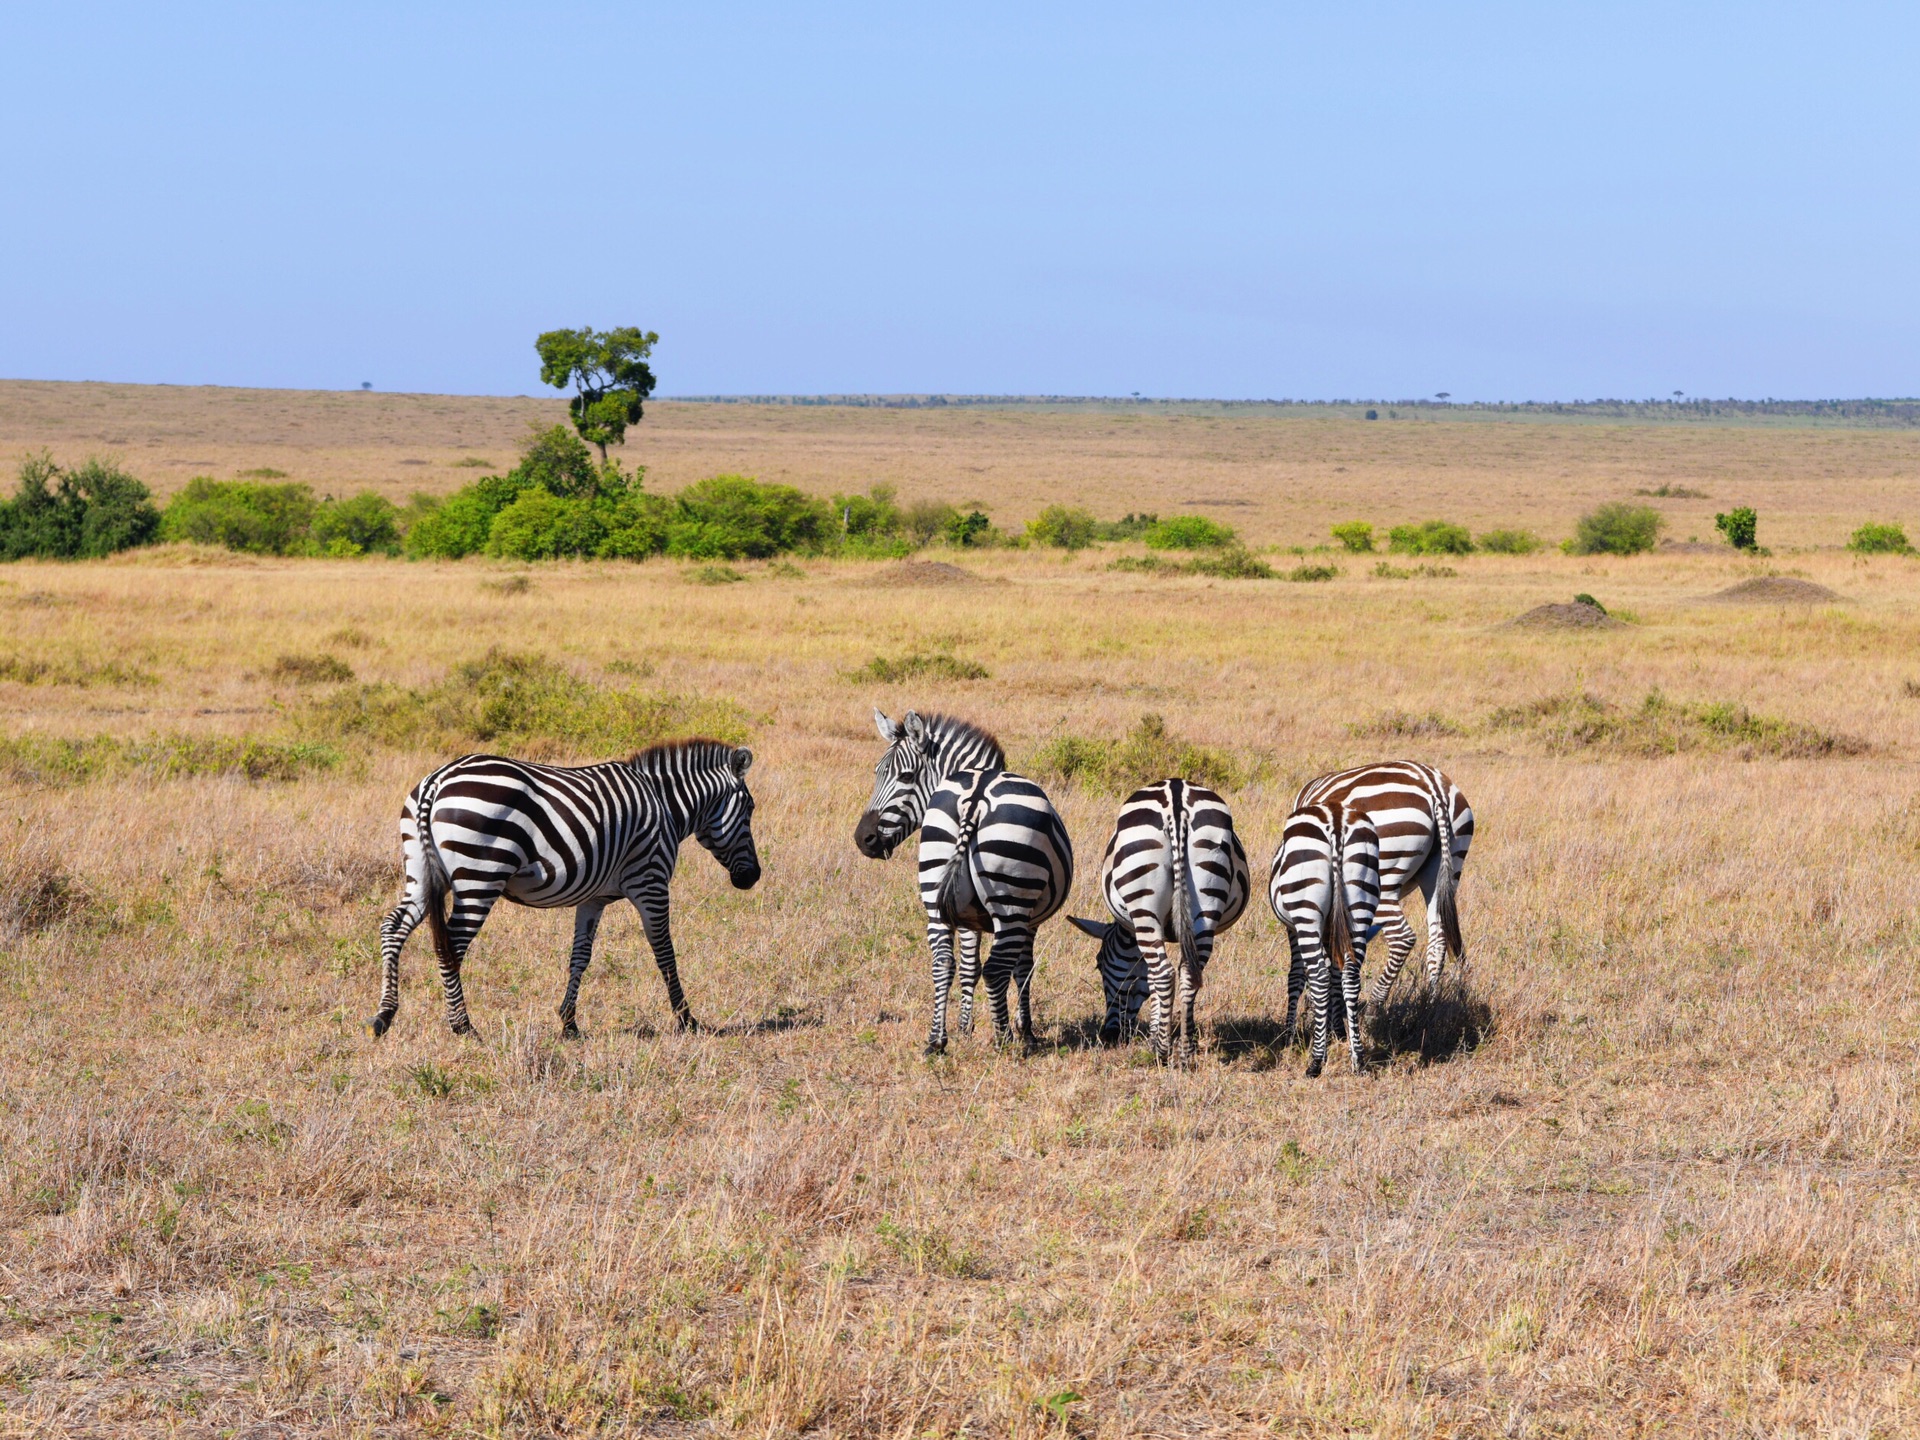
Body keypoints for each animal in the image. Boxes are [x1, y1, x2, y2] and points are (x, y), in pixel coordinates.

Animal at [366, 744, 756, 1036]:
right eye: (751, 809)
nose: (752, 877)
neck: (665, 806)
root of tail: (436, 781)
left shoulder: (594, 898)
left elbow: (580, 956)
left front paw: (569, 1023)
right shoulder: (651, 880)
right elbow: (665, 951)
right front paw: (687, 1018)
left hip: (422, 869)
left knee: (393, 927)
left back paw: (384, 1016)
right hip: (480, 875)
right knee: (451, 944)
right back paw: (462, 1026)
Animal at [852, 714, 1075, 1059]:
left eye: (905, 775)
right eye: (878, 773)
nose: (864, 840)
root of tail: (975, 798)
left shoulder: (966, 914)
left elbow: (970, 965)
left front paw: (964, 1028)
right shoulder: (1030, 920)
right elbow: (1022, 969)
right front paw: (1026, 1032)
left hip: (935, 889)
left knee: (943, 962)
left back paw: (936, 1040)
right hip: (1011, 903)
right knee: (997, 969)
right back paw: (1003, 1040)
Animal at [1274, 806, 1382, 1075]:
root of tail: (1335, 819)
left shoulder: (1292, 928)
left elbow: (1297, 976)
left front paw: (1290, 1038)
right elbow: (1335, 975)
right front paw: (1335, 1033)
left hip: (1305, 910)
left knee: (1319, 976)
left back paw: (1315, 1063)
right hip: (1359, 905)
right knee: (1350, 977)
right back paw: (1358, 1059)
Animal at [1290, 760, 1482, 1021]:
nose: (1309, 1010)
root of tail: (1433, 787)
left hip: (1381, 879)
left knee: (1403, 938)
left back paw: (1375, 1007)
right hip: (1447, 870)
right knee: (1438, 939)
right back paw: (1431, 1006)